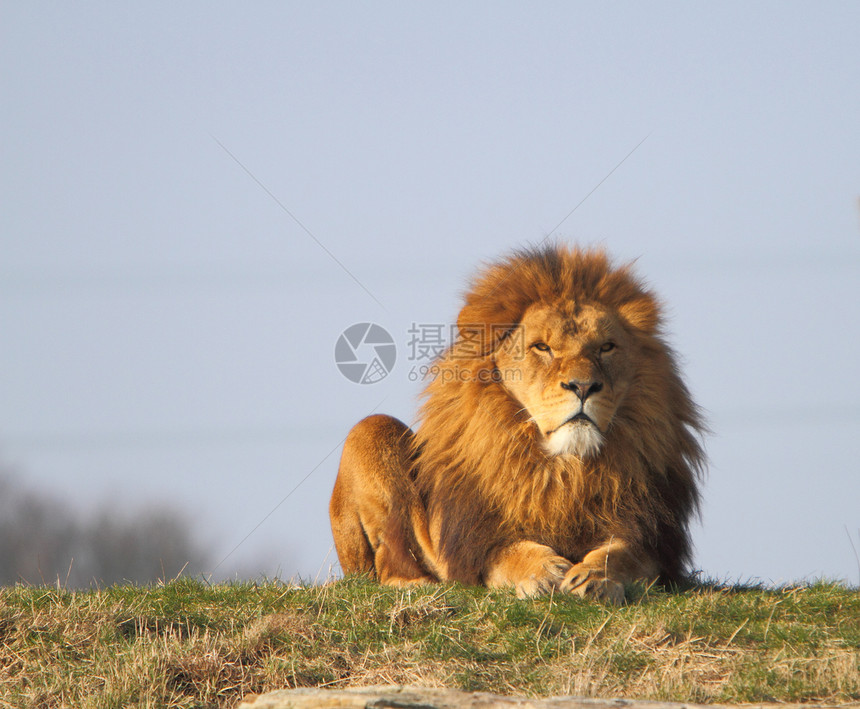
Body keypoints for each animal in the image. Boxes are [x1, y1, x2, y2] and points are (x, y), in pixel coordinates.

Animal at [330, 245, 704, 604]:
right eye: (542, 347)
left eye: (607, 347)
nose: (583, 386)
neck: (565, 470)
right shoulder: (475, 542)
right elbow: (507, 553)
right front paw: (543, 571)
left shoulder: (654, 538)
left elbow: (623, 553)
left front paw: (595, 577)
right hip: (372, 432)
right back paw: (417, 587)